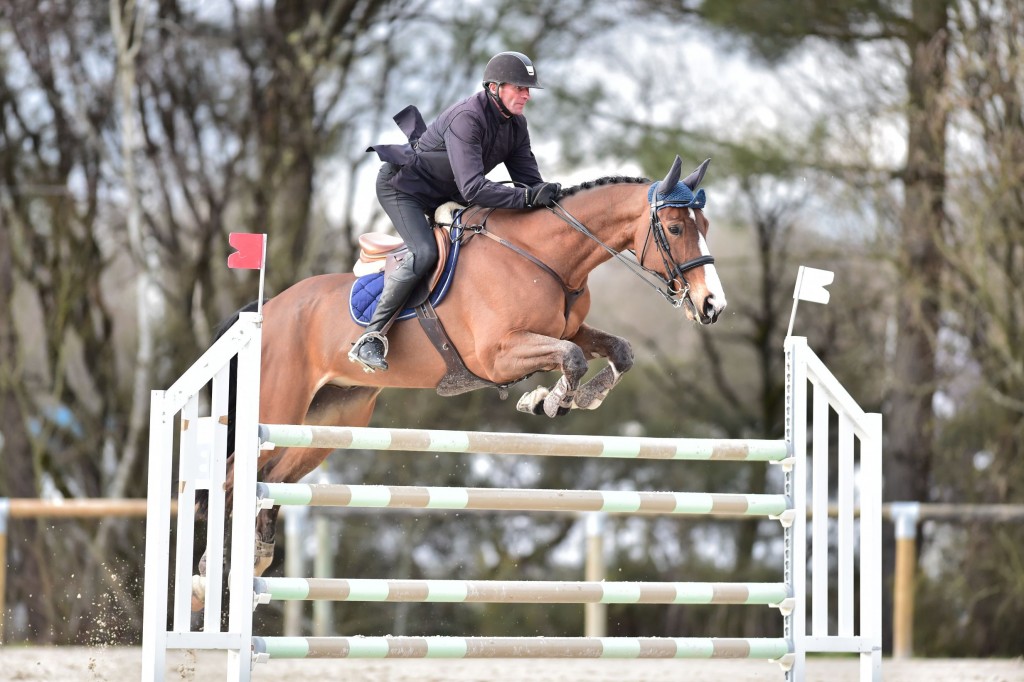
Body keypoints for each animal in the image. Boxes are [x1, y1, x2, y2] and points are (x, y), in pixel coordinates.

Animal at [192, 153, 729, 606]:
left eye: (706, 227)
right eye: (676, 227)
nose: (712, 307)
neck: (543, 255)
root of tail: (268, 308)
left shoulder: (566, 330)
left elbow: (617, 351)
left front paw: (577, 398)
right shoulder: (497, 354)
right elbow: (572, 358)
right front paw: (546, 400)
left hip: (329, 419)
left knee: (273, 477)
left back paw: (255, 558)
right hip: (277, 408)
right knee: (233, 476)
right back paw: (207, 577)